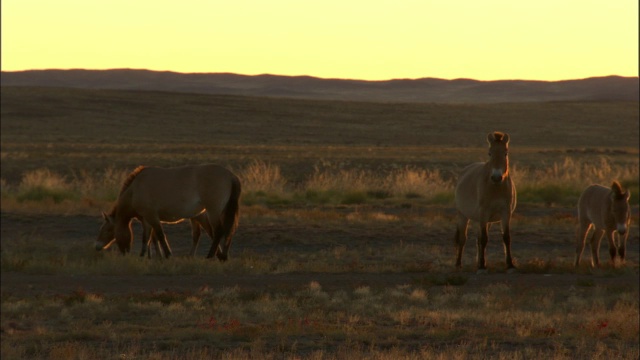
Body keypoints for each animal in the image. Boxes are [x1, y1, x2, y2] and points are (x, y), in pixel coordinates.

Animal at [96, 164, 241, 262]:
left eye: (107, 230)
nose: (97, 247)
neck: (135, 189)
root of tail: (231, 176)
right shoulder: (147, 219)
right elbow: (147, 237)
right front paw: (144, 256)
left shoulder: (152, 217)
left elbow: (159, 236)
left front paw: (167, 255)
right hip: (220, 212)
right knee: (228, 230)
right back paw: (222, 256)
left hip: (212, 211)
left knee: (218, 231)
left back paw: (210, 256)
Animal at [452, 132, 516, 272]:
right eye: (489, 153)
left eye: (506, 153)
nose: (497, 177)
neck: (496, 188)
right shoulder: (484, 213)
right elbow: (484, 239)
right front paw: (482, 266)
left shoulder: (505, 213)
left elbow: (506, 237)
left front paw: (510, 264)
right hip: (463, 215)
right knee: (462, 239)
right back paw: (458, 264)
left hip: (485, 220)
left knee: (478, 239)